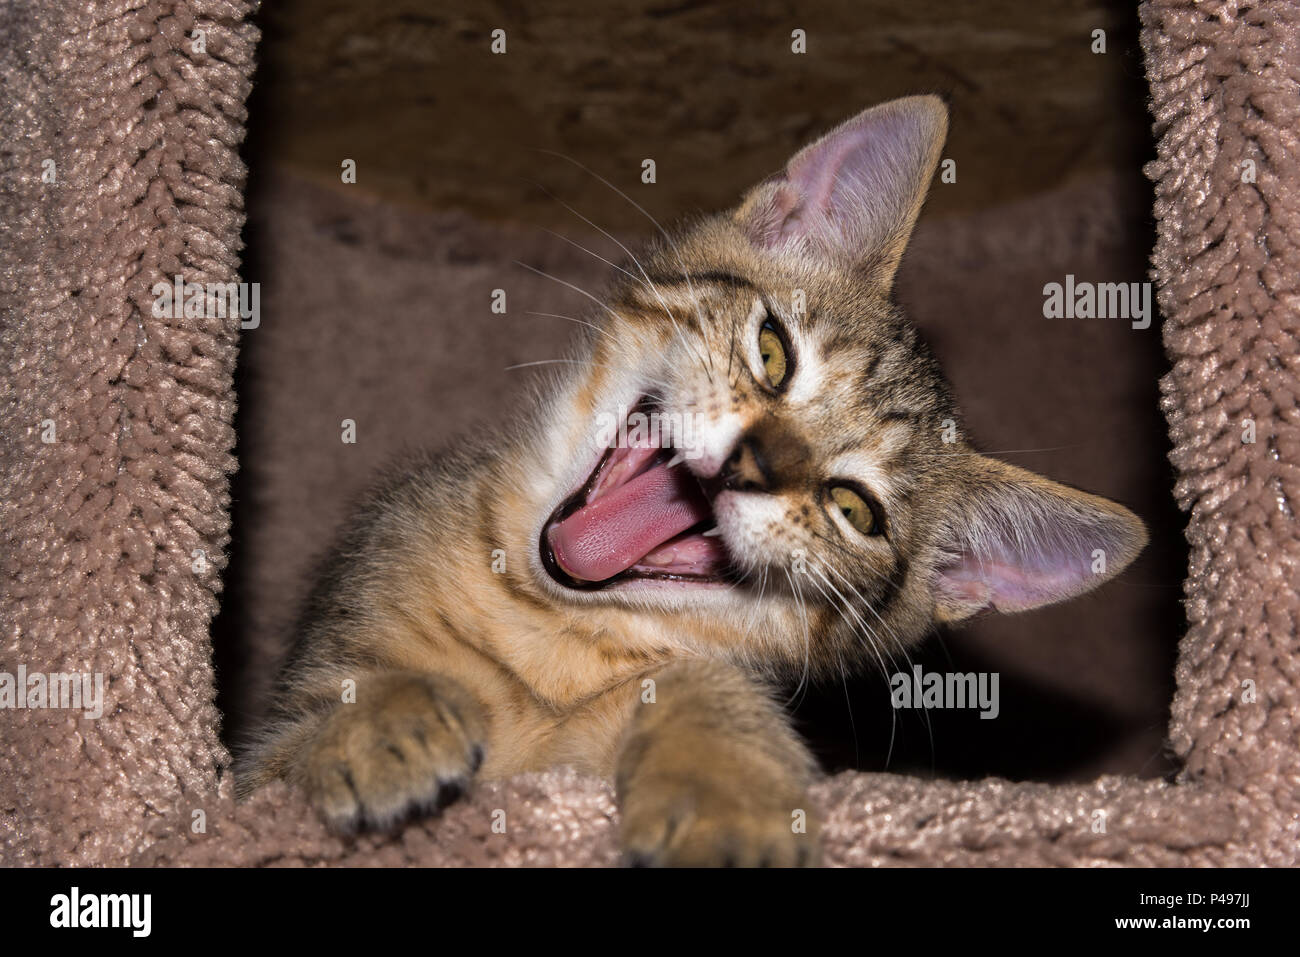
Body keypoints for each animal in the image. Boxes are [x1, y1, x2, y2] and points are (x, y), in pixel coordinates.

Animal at [239, 97, 1144, 868]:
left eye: (854, 507)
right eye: (772, 350)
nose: (756, 460)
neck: (546, 625)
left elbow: (704, 681)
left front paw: (726, 790)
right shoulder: (263, 748)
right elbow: (309, 720)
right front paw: (378, 715)